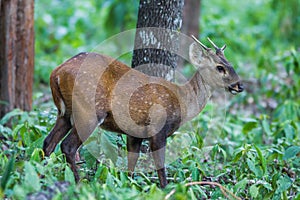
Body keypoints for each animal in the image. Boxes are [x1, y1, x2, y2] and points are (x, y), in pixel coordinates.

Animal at [42, 36, 244, 188]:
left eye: (231, 64)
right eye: (220, 67)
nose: (240, 85)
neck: (183, 101)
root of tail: (56, 73)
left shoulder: (135, 132)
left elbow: (132, 161)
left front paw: (128, 185)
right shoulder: (158, 128)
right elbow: (160, 165)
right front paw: (165, 189)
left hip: (65, 113)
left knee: (48, 142)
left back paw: (42, 174)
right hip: (88, 111)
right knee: (67, 145)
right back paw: (77, 183)